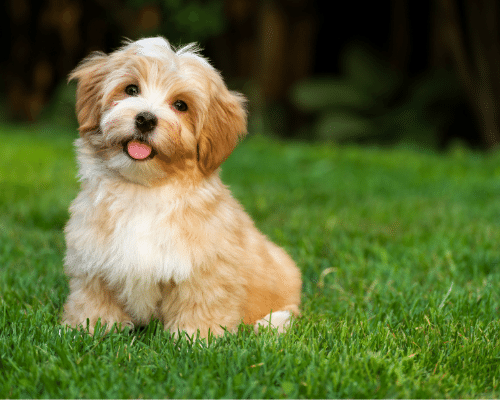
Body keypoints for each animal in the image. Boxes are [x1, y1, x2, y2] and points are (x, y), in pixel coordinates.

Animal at [61, 36, 300, 338]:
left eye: (181, 105)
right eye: (131, 89)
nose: (145, 119)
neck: (144, 188)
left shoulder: (204, 267)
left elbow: (200, 301)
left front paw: (195, 336)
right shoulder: (93, 259)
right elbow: (94, 297)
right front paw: (89, 327)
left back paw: (272, 323)